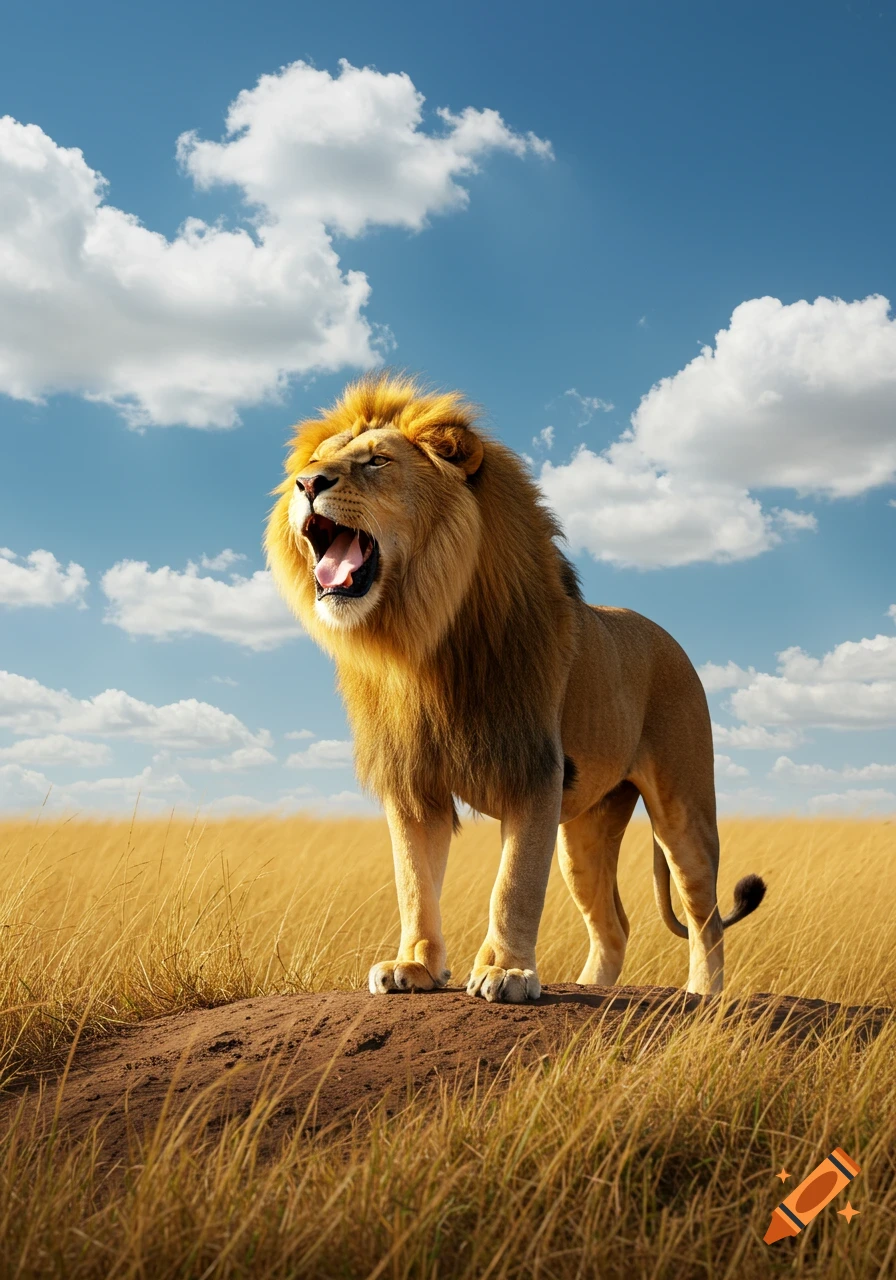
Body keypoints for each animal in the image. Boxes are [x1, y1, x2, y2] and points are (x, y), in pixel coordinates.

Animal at [265, 374, 766, 1003]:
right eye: (315, 461)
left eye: (378, 461)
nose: (308, 484)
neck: (421, 638)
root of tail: (666, 634)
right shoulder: (413, 782)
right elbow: (414, 882)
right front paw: (416, 966)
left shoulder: (534, 768)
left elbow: (514, 883)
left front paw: (506, 972)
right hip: (586, 832)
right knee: (614, 925)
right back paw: (591, 986)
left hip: (684, 808)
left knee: (704, 914)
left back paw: (702, 995)